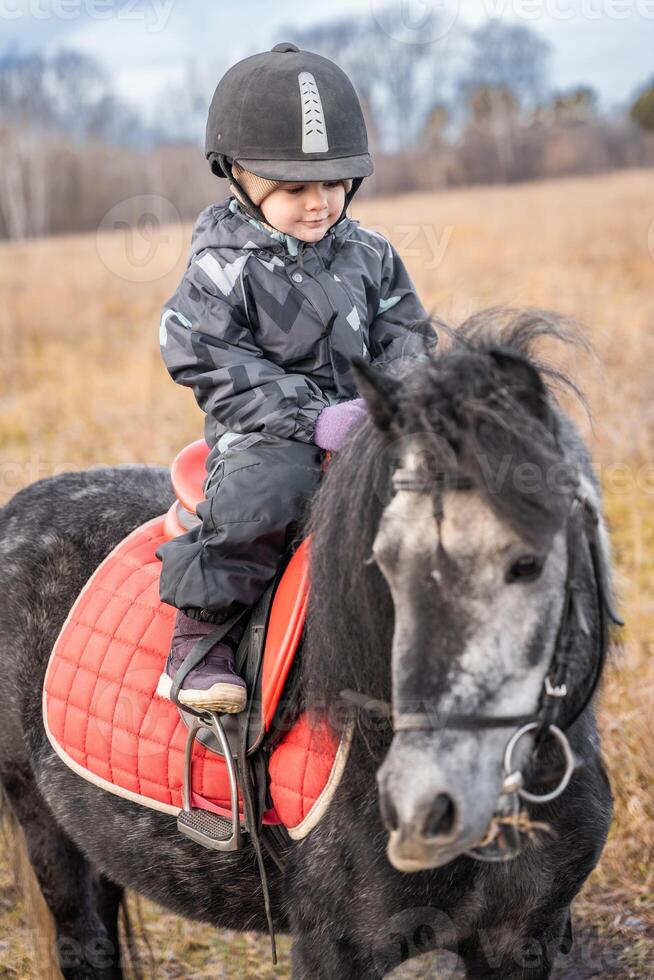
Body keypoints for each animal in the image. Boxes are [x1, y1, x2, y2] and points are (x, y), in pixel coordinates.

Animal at [0, 312, 620, 972]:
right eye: (381, 560)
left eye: (528, 563)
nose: (426, 803)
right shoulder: (332, 947)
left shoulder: (522, 940)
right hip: (42, 822)